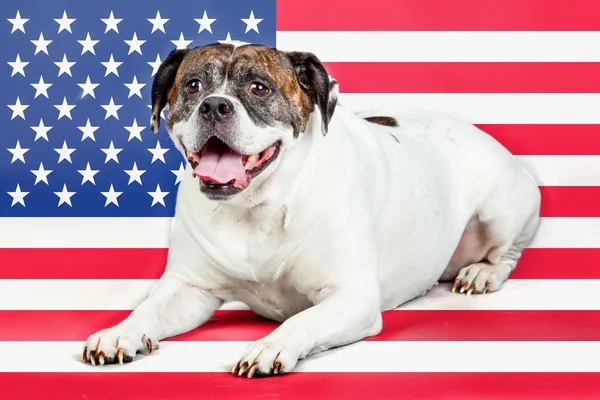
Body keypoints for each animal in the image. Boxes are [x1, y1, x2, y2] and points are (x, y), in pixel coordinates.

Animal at [81, 43, 544, 378]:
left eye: (259, 88)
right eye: (193, 85)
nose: (214, 105)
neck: (257, 207)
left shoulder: (351, 298)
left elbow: (302, 321)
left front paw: (271, 344)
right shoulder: (188, 289)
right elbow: (148, 309)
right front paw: (119, 333)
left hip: (502, 210)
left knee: (507, 254)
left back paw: (481, 274)